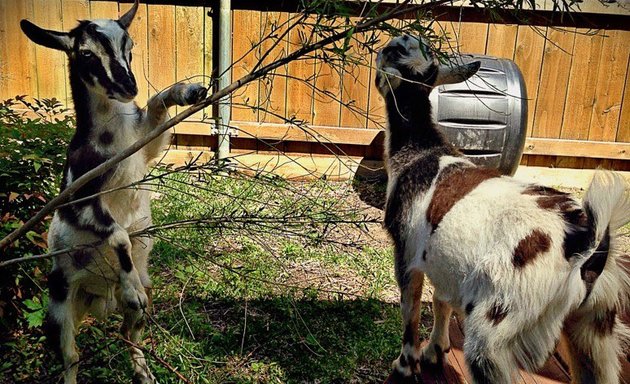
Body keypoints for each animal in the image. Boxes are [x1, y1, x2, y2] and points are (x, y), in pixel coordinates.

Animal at [18, 1, 209, 382]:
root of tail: (99, 300)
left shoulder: (144, 147)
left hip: (145, 295)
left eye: (129, 47)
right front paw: (129, 285)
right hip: (59, 303)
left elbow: (156, 107)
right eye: (86, 54)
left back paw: (144, 372)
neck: (113, 137)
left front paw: (190, 91)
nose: (127, 88)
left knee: (129, 332)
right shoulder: (78, 197)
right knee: (71, 355)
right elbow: (119, 234)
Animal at [378, 33, 630, 384]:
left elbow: (410, 307)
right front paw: (435, 351)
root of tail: (586, 242)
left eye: (395, 52)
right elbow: (441, 299)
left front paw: (406, 363)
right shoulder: (443, 258)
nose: (399, 37)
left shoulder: (406, 251)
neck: (422, 151)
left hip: (497, 325)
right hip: (595, 323)